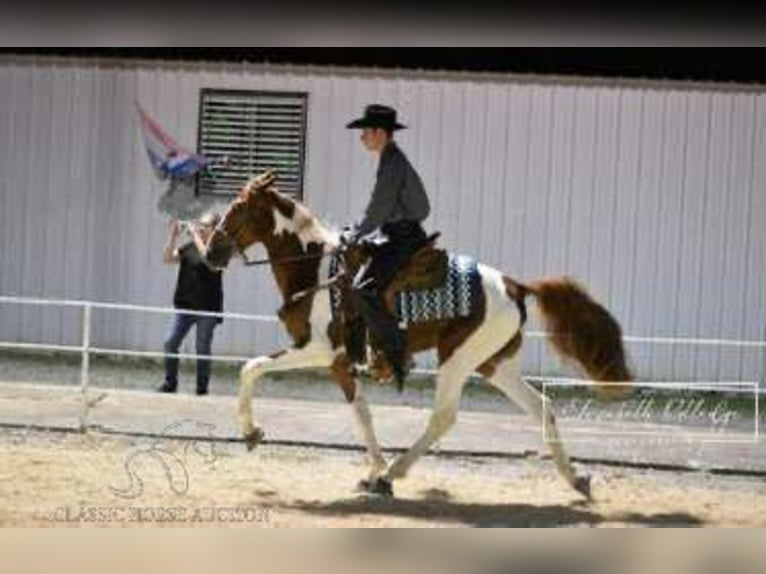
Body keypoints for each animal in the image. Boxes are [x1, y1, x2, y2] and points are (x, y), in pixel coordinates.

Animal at [201, 173, 632, 502]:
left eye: (238, 209)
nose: (210, 253)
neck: (317, 271)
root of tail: (514, 285)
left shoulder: (319, 349)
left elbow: (251, 368)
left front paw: (251, 432)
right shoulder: (340, 362)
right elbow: (361, 412)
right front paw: (371, 466)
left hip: (457, 358)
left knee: (443, 417)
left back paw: (393, 474)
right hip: (494, 363)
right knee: (541, 406)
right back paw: (577, 479)